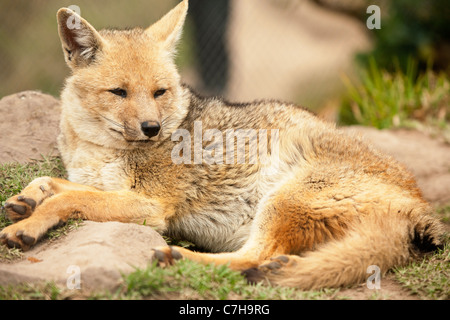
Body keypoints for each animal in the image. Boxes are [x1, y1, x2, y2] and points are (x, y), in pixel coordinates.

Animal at [0, 0, 442, 290]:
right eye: (119, 92)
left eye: (159, 92)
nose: (152, 128)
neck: (99, 149)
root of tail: (418, 206)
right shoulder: (105, 185)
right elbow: (54, 184)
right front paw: (25, 199)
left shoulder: (150, 206)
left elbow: (66, 199)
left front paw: (26, 227)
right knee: (263, 259)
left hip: (282, 201)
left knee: (256, 257)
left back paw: (179, 258)